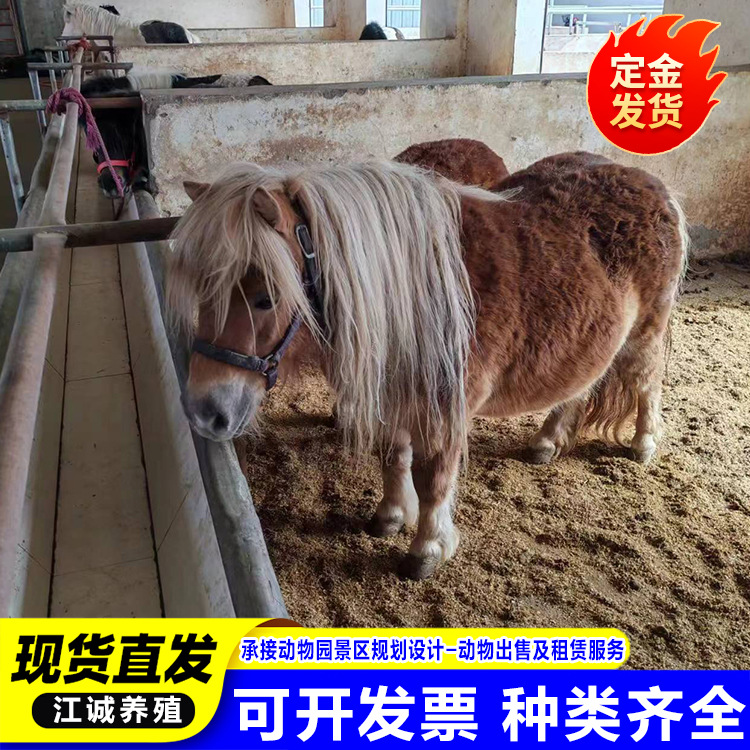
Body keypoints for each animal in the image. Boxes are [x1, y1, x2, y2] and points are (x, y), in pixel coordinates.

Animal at [167, 152, 688, 580]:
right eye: (204, 291)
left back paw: (643, 444)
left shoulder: (443, 411)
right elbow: (395, 458)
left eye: (266, 298)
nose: (204, 411)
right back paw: (547, 441)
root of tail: (654, 186)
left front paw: (426, 551)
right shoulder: (394, 394)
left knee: (647, 383)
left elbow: (433, 478)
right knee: (579, 388)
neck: (410, 291)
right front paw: (392, 516)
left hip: (645, 334)